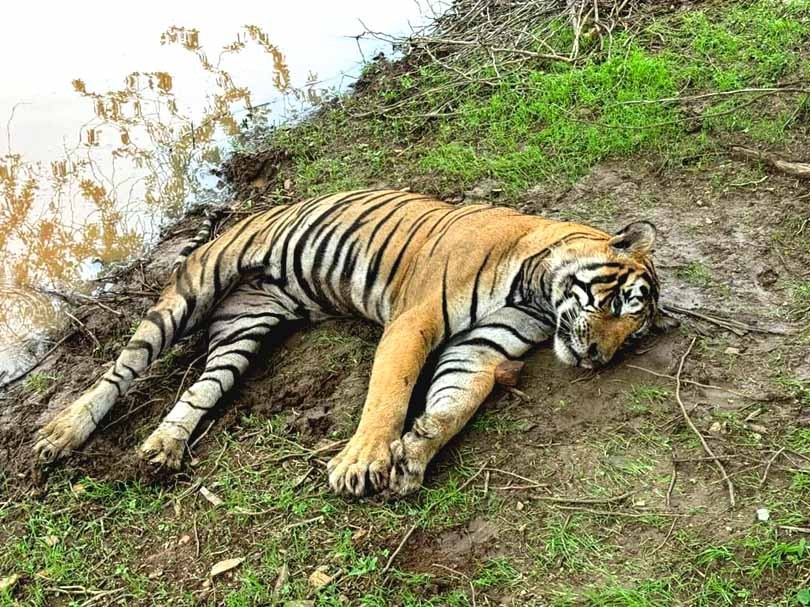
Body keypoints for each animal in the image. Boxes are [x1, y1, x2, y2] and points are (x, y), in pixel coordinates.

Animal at [33, 189, 675, 496]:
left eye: (633, 336)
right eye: (617, 304)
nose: (597, 358)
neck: (537, 291)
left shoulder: (482, 349)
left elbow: (454, 405)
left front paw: (414, 453)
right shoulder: (413, 322)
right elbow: (389, 393)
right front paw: (362, 461)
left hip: (242, 334)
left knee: (198, 391)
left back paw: (163, 449)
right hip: (192, 291)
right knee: (122, 367)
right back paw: (62, 432)